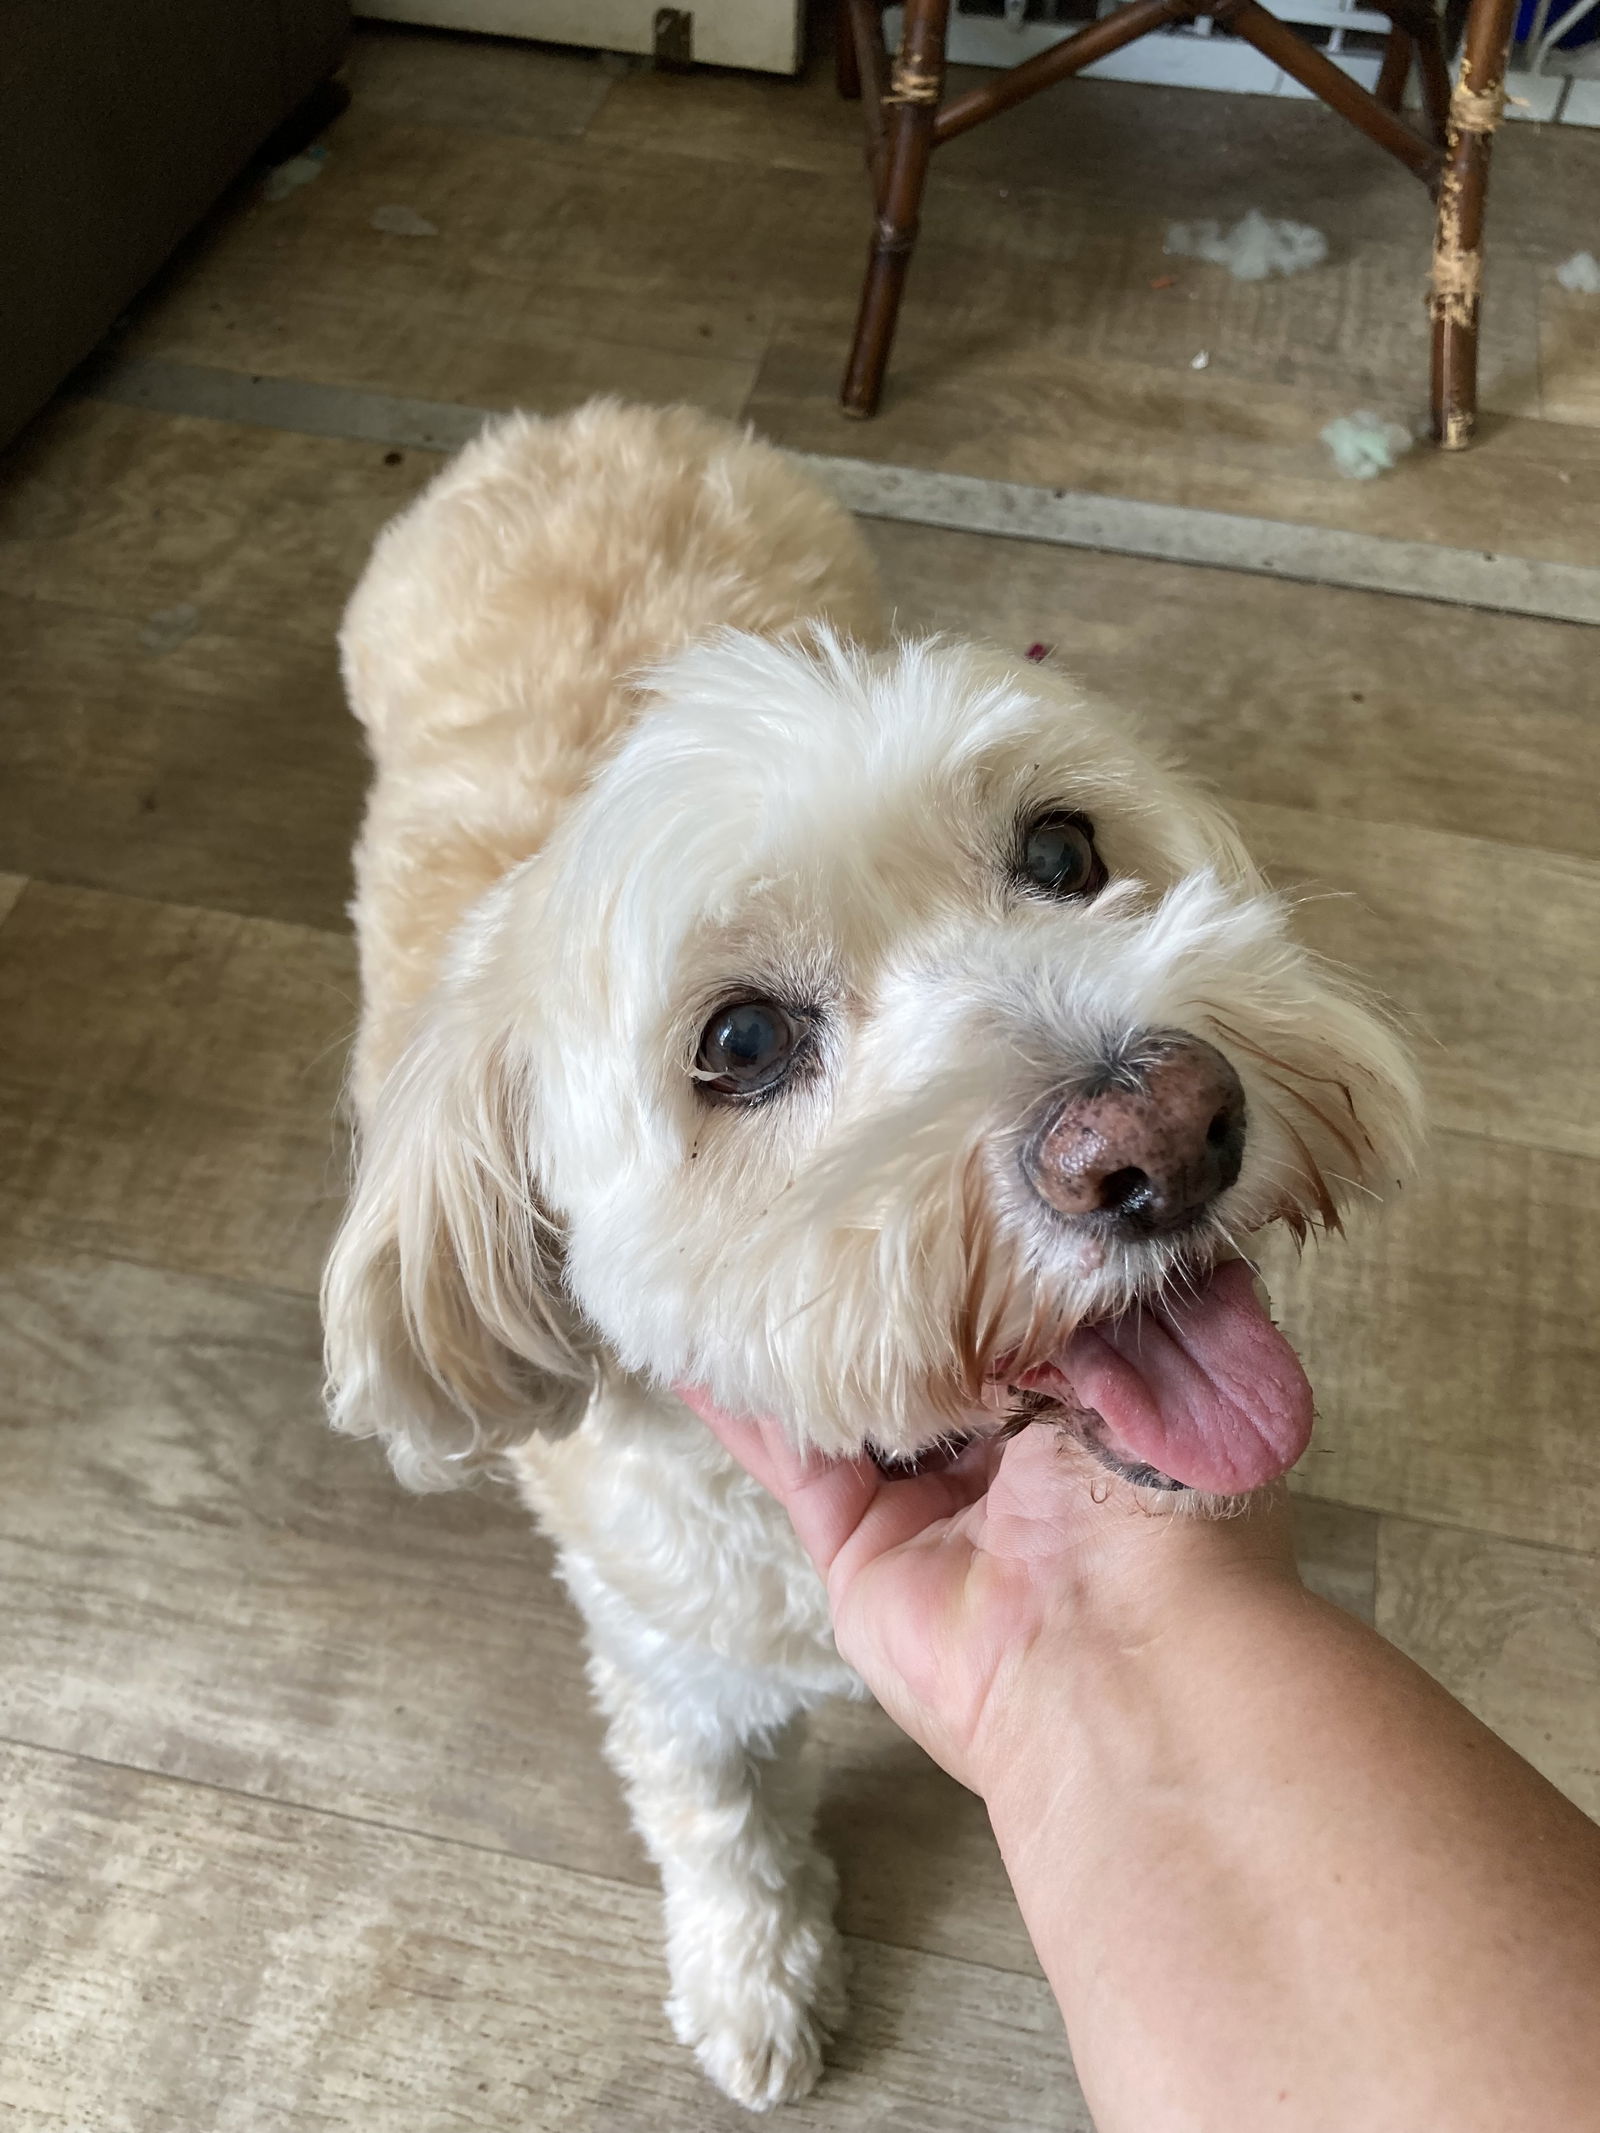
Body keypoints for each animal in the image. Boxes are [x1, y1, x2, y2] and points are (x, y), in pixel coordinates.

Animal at [320, 396, 1425, 2098]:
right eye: (742, 1041)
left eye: (1062, 851)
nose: (1164, 1137)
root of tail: (584, 420)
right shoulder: (671, 1657)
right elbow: (716, 1819)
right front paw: (752, 1975)